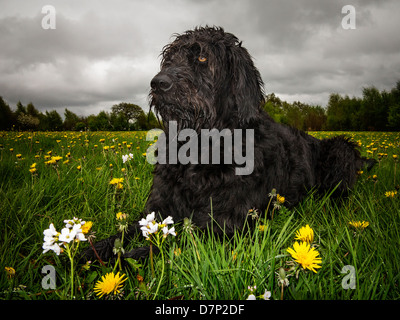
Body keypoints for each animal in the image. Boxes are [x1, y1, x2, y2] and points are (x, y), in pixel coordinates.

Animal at [85, 26, 376, 262]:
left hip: (340, 149)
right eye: (169, 59)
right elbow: (122, 234)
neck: (201, 146)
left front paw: (129, 258)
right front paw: (91, 252)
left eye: (202, 57)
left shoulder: (225, 223)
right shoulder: (157, 210)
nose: (158, 83)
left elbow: (172, 244)